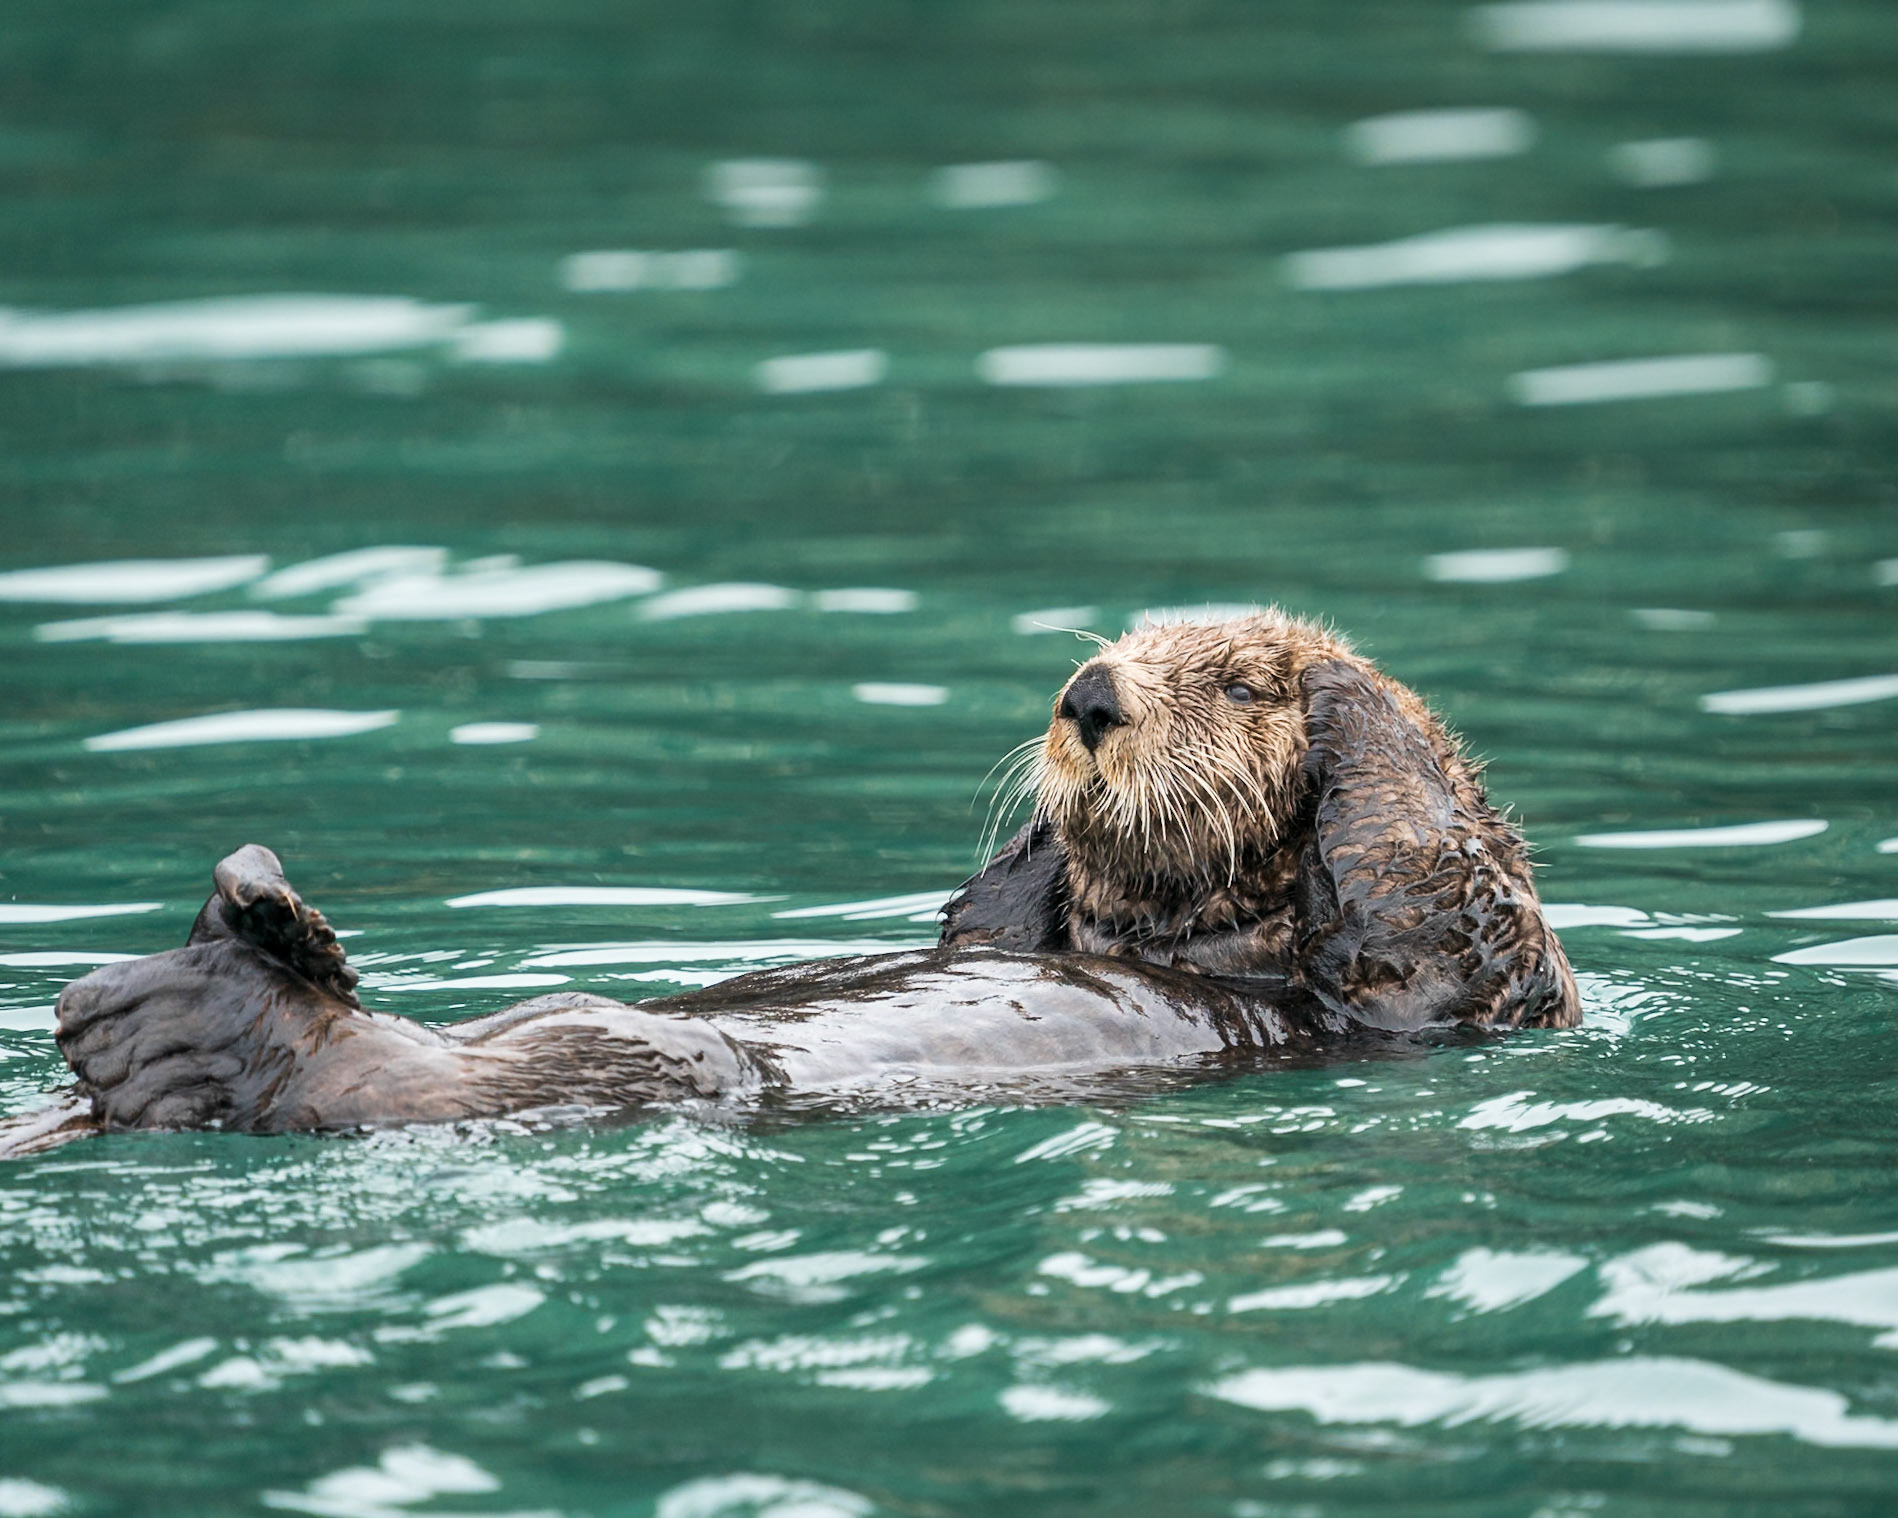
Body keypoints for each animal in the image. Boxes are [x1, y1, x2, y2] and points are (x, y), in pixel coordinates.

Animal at [5, 611, 1577, 1154]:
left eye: (1236, 682)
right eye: (1124, 639)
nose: (1087, 694)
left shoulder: (1457, 980)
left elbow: (1418, 896)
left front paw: (1345, 694)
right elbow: (979, 917)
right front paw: (1023, 857)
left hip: (615, 1056)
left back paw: (239, 969)